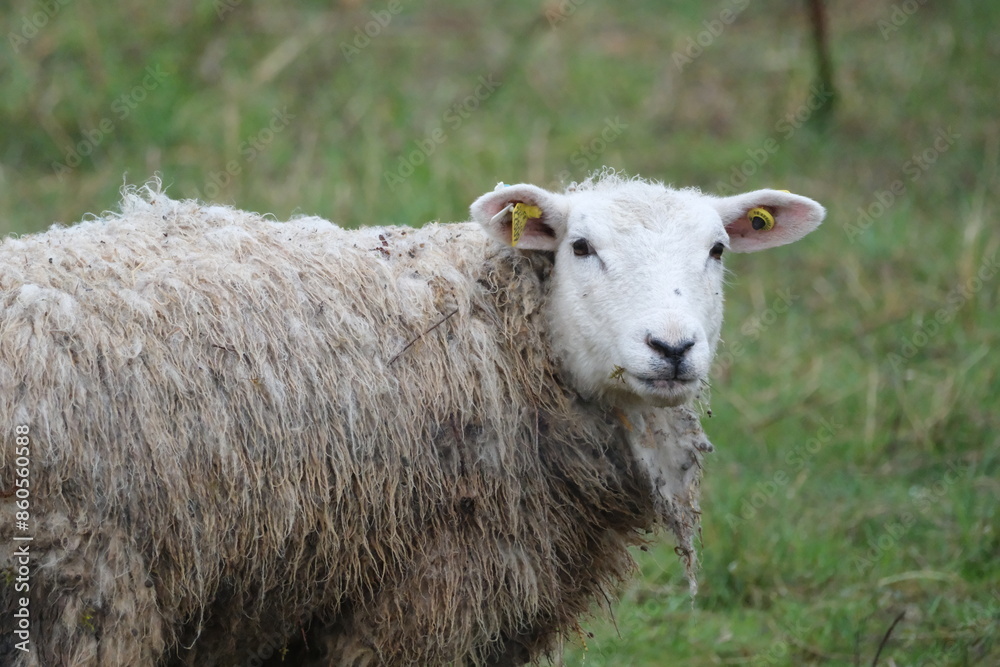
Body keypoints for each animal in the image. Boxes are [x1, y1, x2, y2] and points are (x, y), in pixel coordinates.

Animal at [0, 173, 824, 666]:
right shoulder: (428, 598)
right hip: (85, 584)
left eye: (717, 249)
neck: (499, 335)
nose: (672, 347)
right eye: (582, 247)